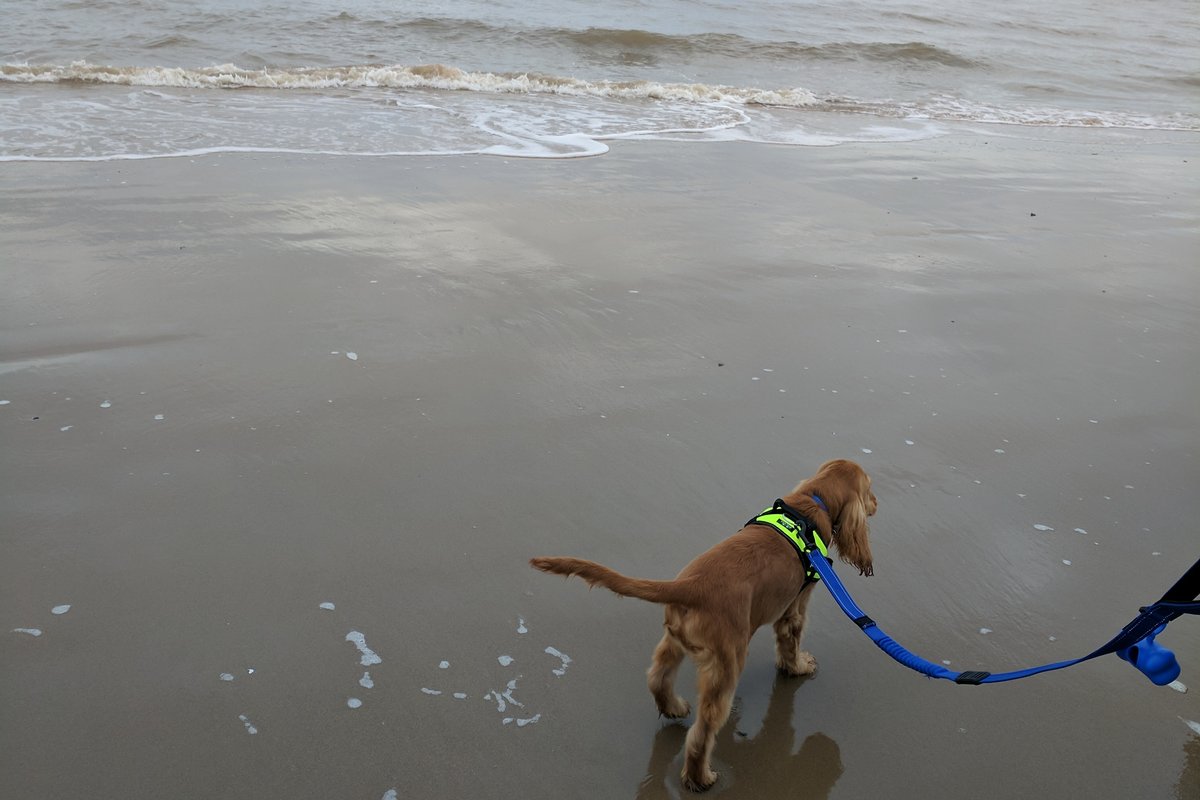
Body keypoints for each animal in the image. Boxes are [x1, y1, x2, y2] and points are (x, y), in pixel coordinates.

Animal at [530, 460, 878, 791]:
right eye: (870, 488)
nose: (876, 504)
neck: (812, 500)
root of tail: (691, 586)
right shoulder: (795, 607)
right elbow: (790, 643)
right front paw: (801, 667)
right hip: (727, 662)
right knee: (701, 733)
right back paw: (701, 778)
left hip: (674, 641)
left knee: (657, 678)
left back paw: (673, 707)